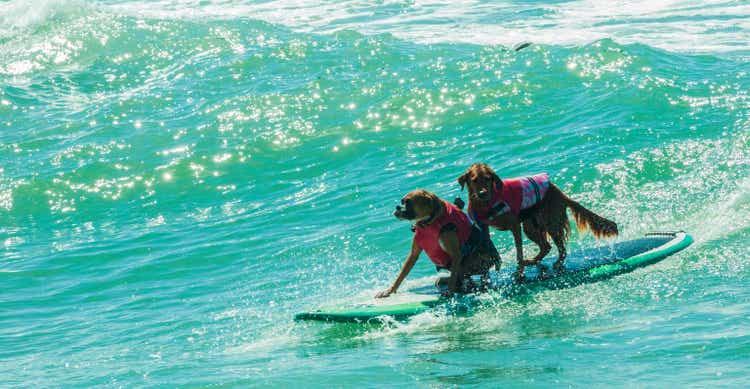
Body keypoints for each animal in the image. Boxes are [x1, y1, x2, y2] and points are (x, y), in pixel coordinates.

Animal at [462, 162, 620, 278]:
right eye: (474, 180)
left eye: (488, 178)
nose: (482, 193)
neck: (487, 203)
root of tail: (560, 194)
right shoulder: (484, 228)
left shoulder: (514, 226)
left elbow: (519, 253)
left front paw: (519, 272)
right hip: (531, 226)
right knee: (546, 246)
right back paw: (533, 261)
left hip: (551, 223)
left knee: (561, 249)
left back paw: (556, 263)